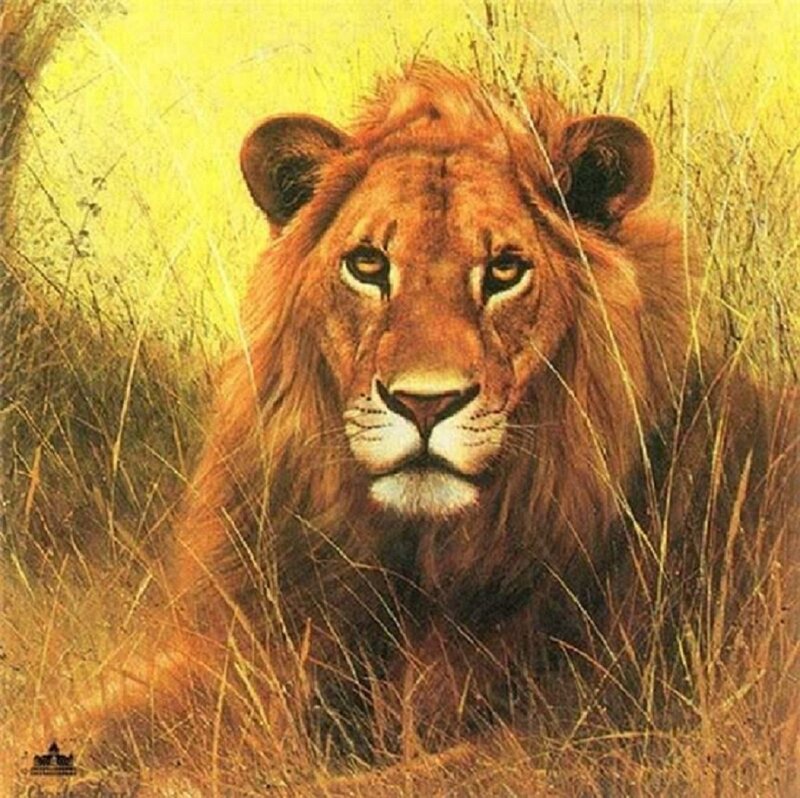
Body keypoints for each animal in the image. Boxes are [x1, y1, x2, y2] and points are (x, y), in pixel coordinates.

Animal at [46, 62, 797, 781]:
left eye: (505, 270)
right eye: (368, 265)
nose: (425, 404)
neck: (415, 565)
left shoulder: (593, 738)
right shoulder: (249, 658)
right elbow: (73, 721)